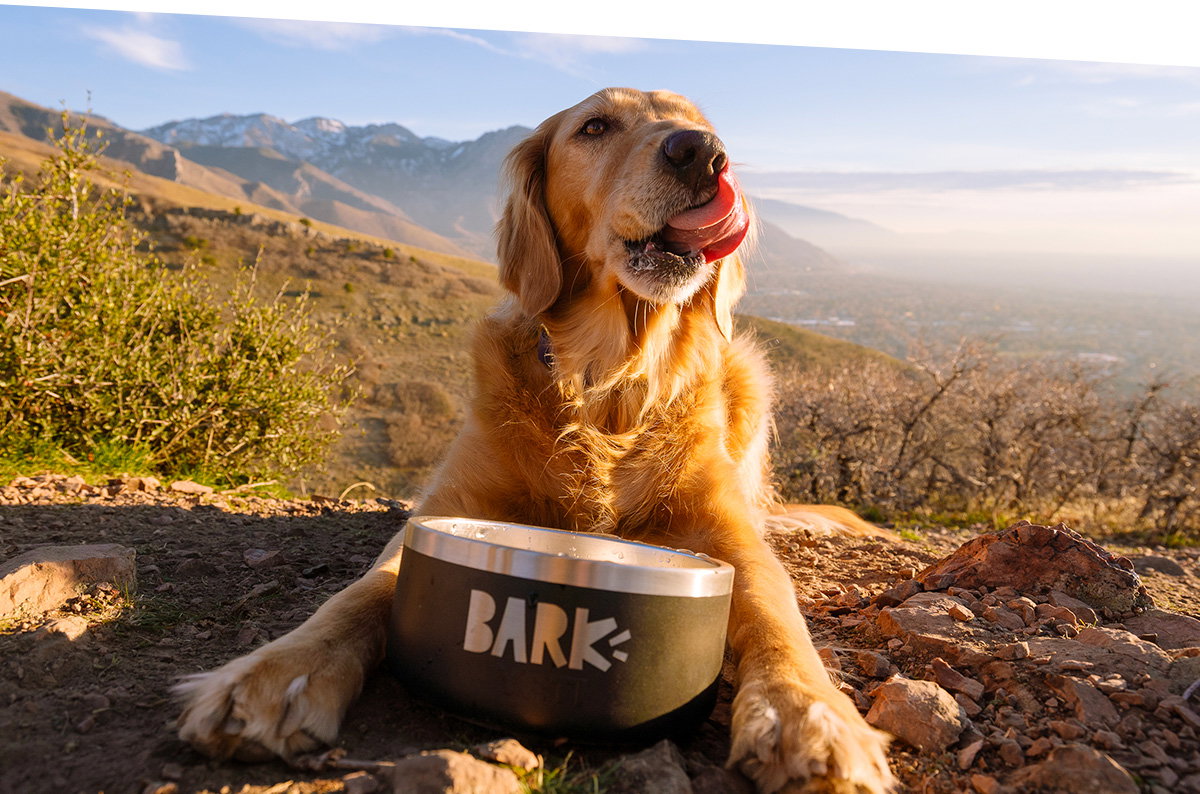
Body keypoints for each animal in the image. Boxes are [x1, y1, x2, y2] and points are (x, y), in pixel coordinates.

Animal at [175, 88, 892, 794]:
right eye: (595, 127)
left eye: (699, 124)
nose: (702, 154)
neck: (606, 383)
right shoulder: (448, 508)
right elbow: (362, 593)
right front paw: (274, 675)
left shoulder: (727, 535)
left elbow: (777, 616)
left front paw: (809, 714)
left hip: (748, 369)